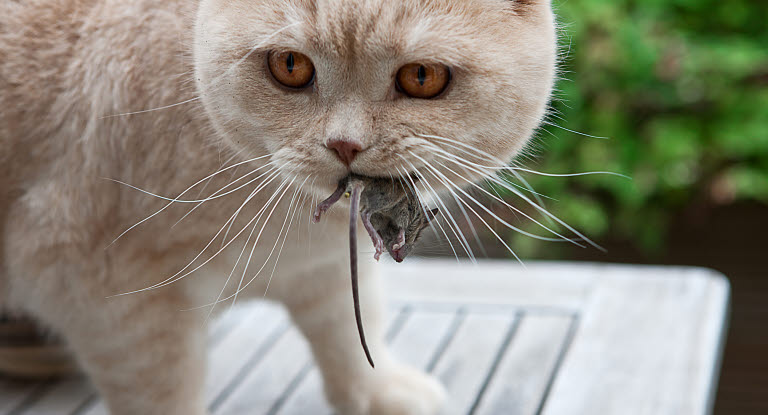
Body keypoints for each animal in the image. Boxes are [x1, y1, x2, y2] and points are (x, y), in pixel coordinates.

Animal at [0, 0, 556, 415]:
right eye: (290, 66)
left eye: (422, 76)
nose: (345, 144)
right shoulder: (115, 305)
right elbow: (164, 393)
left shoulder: (323, 269)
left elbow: (352, 332)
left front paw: (379, 395)